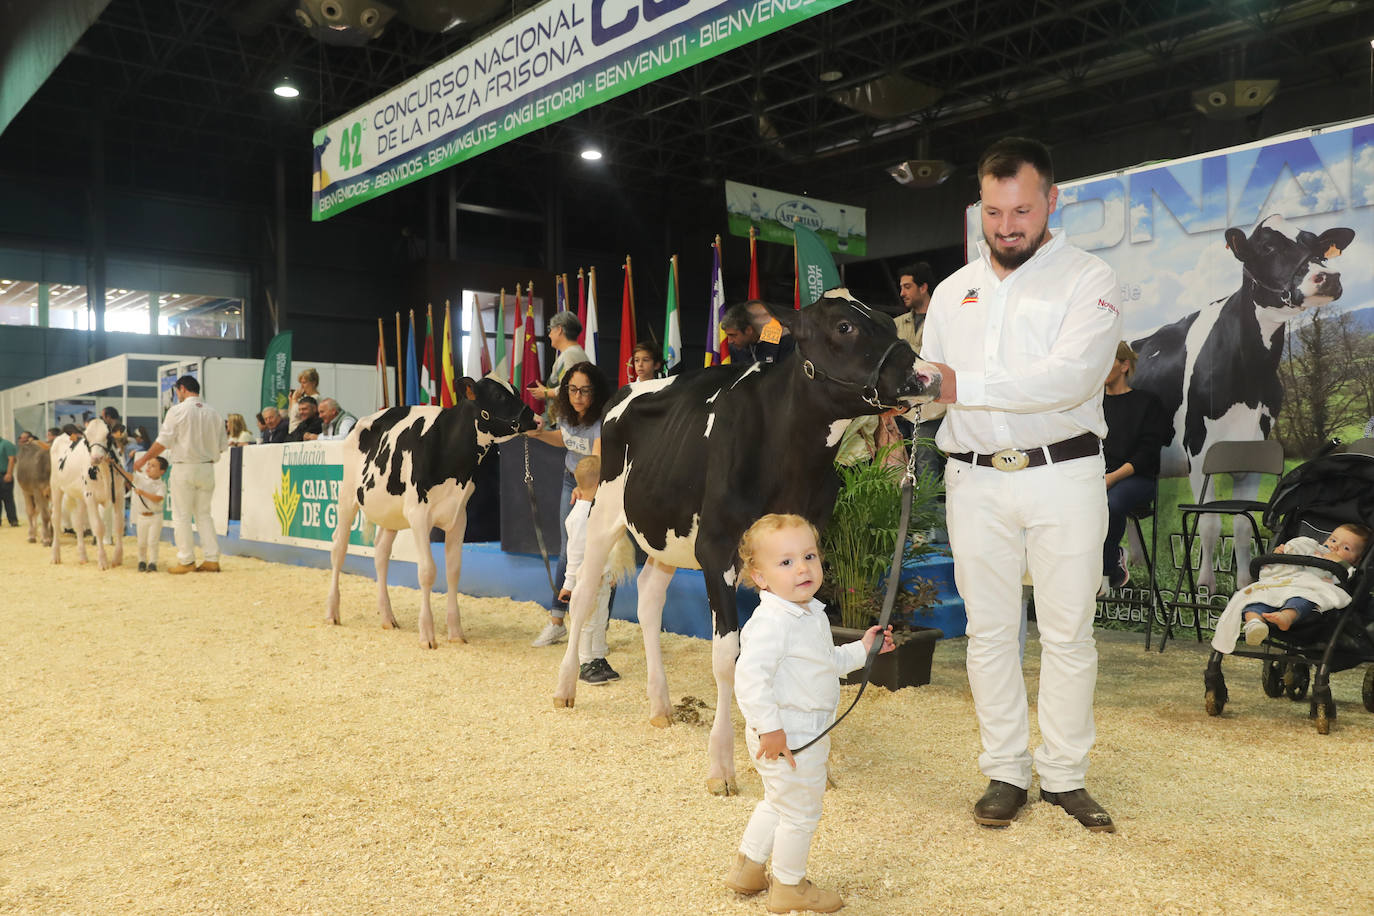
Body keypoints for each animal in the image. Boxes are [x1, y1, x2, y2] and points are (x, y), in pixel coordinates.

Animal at [325, 376, 535, 648]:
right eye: (498, 395)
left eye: (517, 391)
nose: (534, 417)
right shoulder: (418, 515)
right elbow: (427, 571)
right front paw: (427, 634)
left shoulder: (459, 517)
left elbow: (454, 571)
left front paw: (455, 632)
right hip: (347, 496)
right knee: (338, 548)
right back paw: (332, 612)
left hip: (391, 513)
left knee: (381, 553)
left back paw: (387, 617)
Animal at [552, 292, 939, 796]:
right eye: (845, 326)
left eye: (887, 322)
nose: (930, 375)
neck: (788, 454)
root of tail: (629, 389)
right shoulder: (716, 552)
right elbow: (726, 659)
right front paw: (722, 766)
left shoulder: (810, 547)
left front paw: (815, 760)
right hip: (604, 510)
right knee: (582, 597)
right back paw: (565, 689)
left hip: (668, 537)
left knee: (650, 600)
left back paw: (661, 706)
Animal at [1126, 223, 1352, 587]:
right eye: (1267, 247)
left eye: (1318, 246)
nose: (1327, 277)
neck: (1251, 379)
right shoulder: (1198, 450)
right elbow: (1209, 523)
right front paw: (1205, 586)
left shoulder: (1255, 448)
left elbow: (1244, 525)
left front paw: (1245, 581)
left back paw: (1135, 562)